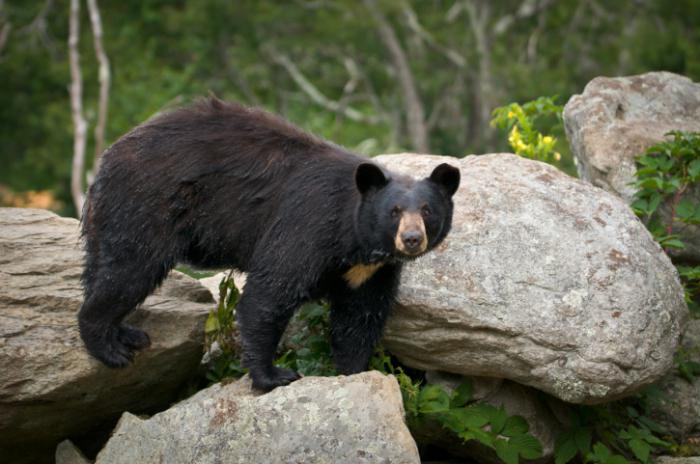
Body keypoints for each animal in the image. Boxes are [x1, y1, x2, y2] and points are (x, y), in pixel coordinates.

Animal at [78, 99, 460, 392]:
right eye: (394, 211)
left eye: (427, 210)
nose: (412, 239)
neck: (355, 240)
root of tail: (107, 159)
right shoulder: (307, 226)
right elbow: (271, 293)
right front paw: (273, 375)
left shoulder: (372, 271)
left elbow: (360, 317)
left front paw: (353, 371)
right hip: (147, 206)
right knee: (130, 270)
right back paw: (109, 347)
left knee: (102, 267)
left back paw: (125, 333)